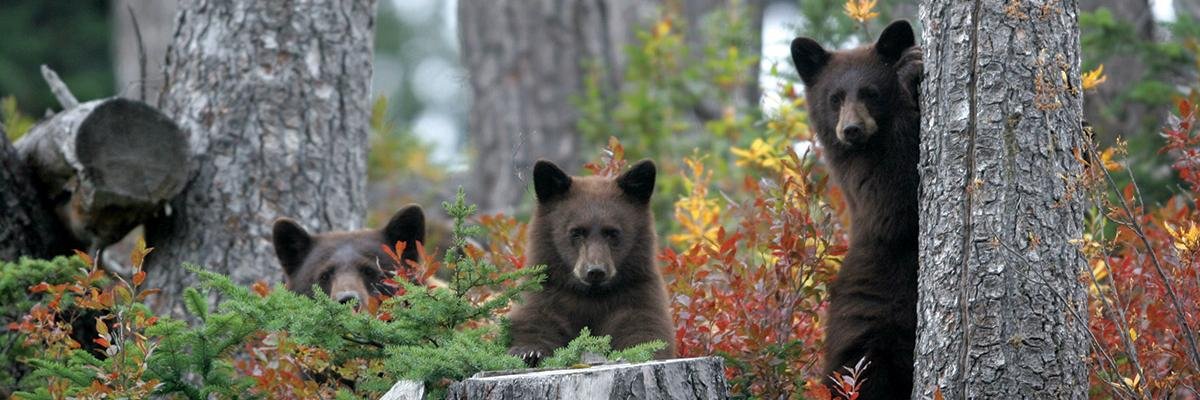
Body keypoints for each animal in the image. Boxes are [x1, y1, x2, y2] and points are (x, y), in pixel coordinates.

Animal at [506, 159, 675, 366]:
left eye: (612, 233)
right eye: (576, 232)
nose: (595, 271)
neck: (590, 296)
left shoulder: (638, 293)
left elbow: (644, 329)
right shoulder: (546, 292)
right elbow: (536, 320)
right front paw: (528, 351)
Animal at [790, 20, 922, 399]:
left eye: (869, 92)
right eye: (835, 97)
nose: (851, 129)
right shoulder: (857, 175)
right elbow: (895, 202)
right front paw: (909, 69)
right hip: (864, 325)